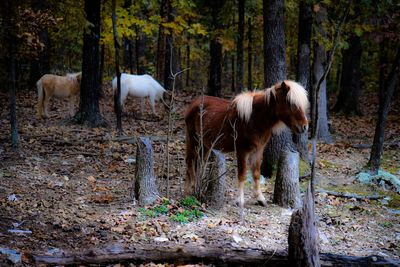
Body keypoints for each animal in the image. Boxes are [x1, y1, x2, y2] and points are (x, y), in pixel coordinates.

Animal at [184, 80, 310, 208]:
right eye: (291, 104)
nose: (304, 126)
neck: (254, 118)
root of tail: (193, 104)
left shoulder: (258, 150)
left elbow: (256, 174)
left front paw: (260, 199)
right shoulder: (242, 151)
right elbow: (242, 174)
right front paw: (240, 200)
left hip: (205, 146)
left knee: (198, 163)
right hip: (194, 141)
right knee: (190, 163)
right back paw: (189, 191)